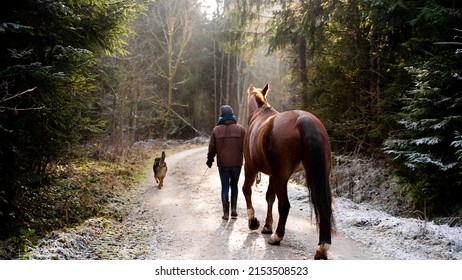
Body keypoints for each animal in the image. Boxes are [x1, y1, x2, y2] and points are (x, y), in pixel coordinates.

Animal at [244, 83, 334, 260]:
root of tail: (303, 119)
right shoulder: (272, 174)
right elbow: (269, 197)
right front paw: (267, 226)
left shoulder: (250, 167)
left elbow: (247, 190)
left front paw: (253, 221)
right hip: (320, 175)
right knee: (324, 205)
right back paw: (322, 247)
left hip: (281, 177)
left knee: (284, 205)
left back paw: (277, 237)